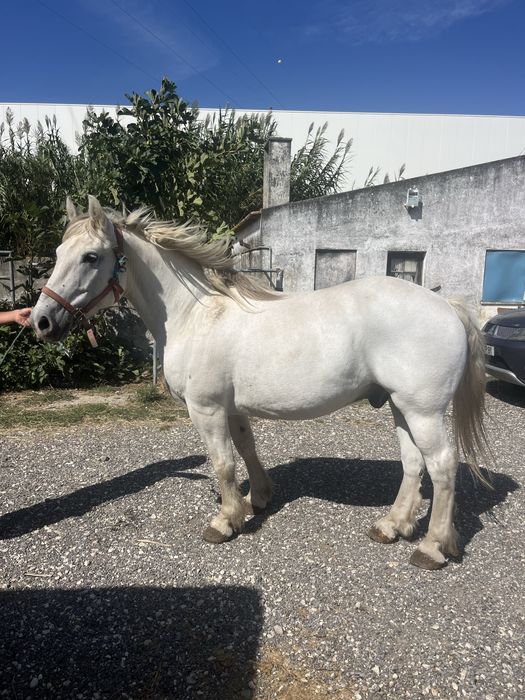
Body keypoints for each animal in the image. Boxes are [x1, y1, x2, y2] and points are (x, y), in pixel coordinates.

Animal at [31, 195, 488, 570]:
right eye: (58, 252)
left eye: (91, 256)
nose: (42, 321)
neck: (195, 315)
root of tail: (445, 302)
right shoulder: (232, 408)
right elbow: (246, 451)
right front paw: (257, 500)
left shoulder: (207, 408)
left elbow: (222, 462)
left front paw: (224, 521)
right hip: (399, 405)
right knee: (413, 464)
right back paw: (392, 526)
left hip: (423, 411)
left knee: (442, 466)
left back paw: (431, 547)